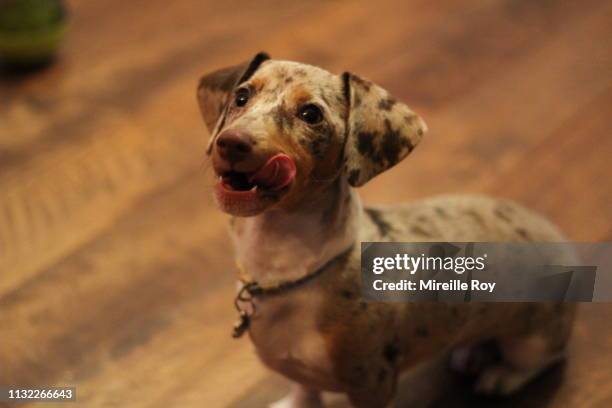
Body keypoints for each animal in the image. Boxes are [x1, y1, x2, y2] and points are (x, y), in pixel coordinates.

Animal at [198, 52, 576, 406]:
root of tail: (556, 236)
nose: (231, 142)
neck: (284, 272)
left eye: (311, 114)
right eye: (242, 96)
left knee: (545, 357)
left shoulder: (372, 382)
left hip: (533, 338)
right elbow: (304, 391)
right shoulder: (299, 372)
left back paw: (502, 376)